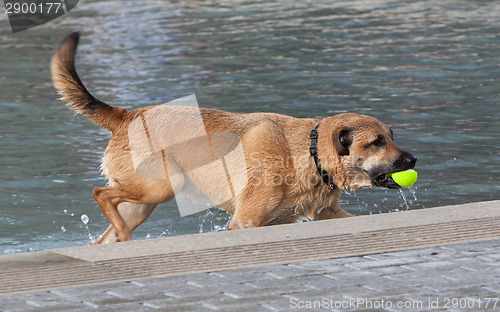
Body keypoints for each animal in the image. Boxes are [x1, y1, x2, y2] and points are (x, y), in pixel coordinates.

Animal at [51, 33, 418, 245]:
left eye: (391, 136)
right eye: (376, 142)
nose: (413, 160)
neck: (308, 152)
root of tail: (126, 115)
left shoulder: (325, 215)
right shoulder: (244, 222)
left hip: (143, 203)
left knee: (105, 231)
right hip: (162, 186)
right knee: (101, 193)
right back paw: (125, 234)